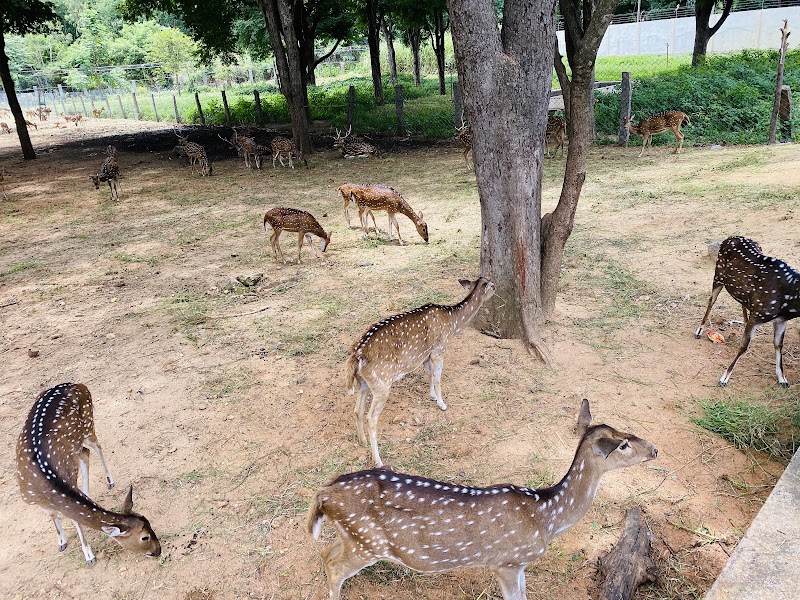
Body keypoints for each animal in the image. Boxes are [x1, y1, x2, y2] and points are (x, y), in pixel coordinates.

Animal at [16, 383, 161, 565]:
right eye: (145, 537)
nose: (159, 550)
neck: (46, 486)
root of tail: (77, 384)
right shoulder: (31, 498)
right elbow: (54, 515)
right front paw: (62, 542)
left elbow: (74, 519)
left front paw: (89, 555)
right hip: (78, 440)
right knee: (85, 453)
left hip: (88, 425)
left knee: (95, 447)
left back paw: (109, 481)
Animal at [308, 398, 658, 599]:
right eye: (623, 444)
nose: (655, 449)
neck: (546, 517)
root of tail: (324, 492)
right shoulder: (507, 561)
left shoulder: (519, 564)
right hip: (368, 543)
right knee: (335, 567)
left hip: (354, 537)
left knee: (326, 553)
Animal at [347, 277, 496, 466]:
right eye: (491, 285)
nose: (497, 288)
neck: (453, 322)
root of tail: (357, 355)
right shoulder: (440, 348)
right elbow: (438, 376)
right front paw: (442, 404)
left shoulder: (426, 354)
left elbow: (429, 372)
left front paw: (432, 395)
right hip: (382, 384)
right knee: (371, 418)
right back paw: (378, 461)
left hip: (364, 382)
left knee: (357, 410)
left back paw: (362, 441)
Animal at [695, 236, 800, 388]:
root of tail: (730, 237)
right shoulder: (757, 314)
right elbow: (743, 346)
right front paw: (724, 378)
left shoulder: (781, 320)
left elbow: (778, 345)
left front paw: (783, 379)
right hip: (718, 274)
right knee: (711, 300)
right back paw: (698, 331)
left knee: (742, 301)